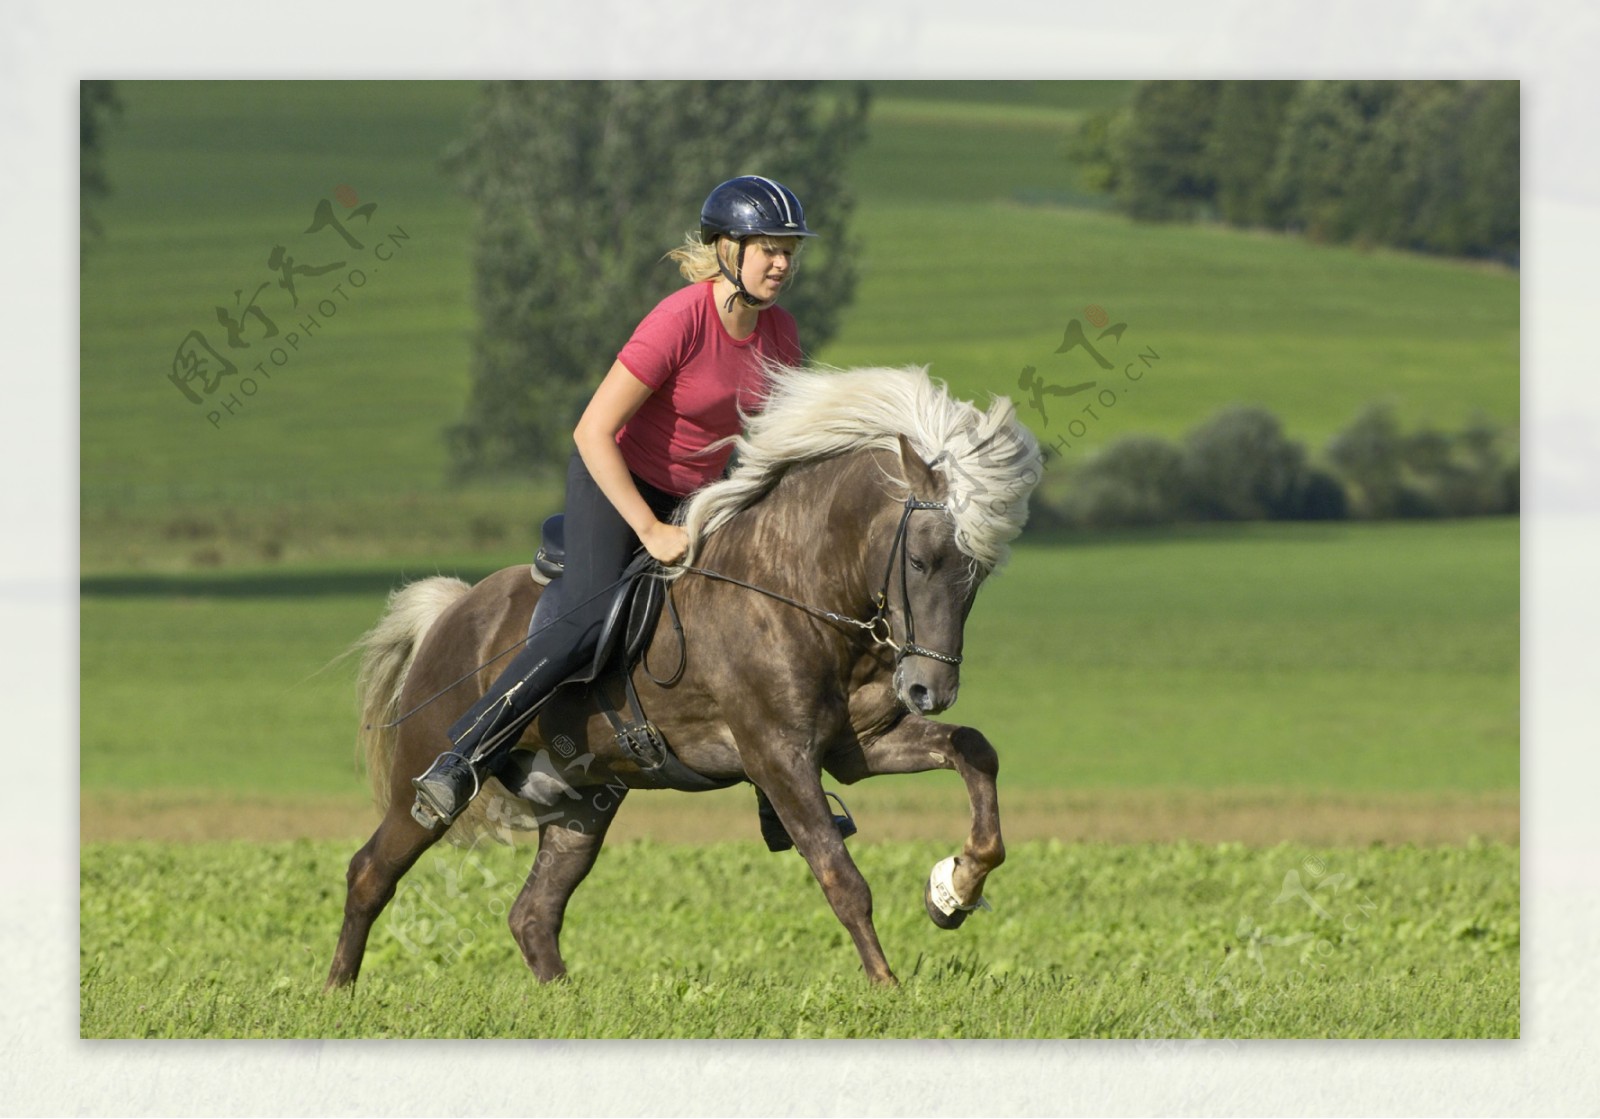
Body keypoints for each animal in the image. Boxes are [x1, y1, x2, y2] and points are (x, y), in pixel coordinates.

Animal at [326, 368, 1049, 986]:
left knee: (534, 912)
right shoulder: (778, 757)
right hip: (425, 778)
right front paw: (886, 987)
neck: (796, 587)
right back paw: (338, 991)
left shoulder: (854, 748)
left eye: (978, 574)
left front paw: (954, 888)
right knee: (371, 870)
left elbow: (974, 750)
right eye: (921, 561)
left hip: (584, 801)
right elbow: (840, 876)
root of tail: (453, 610)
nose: (930, 689)